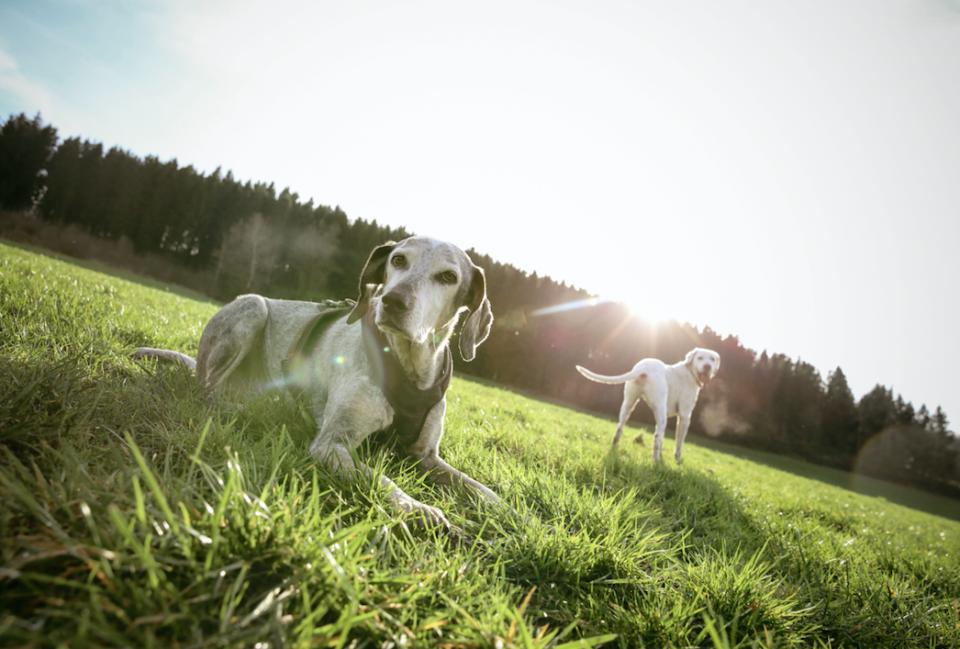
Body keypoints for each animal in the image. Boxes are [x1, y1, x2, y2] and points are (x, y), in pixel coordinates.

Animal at [135, 237, 498, 532]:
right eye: (398, 259)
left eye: (448, 277)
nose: (393, 301)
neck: (410, 366)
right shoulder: (332, 444)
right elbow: (380, 477)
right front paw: (416, 506)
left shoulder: (426, 458)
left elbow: (481, 489)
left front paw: (506, 511)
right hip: (253, 306)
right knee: (208, 390)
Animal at [572, 350, 716, 460]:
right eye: (700, 358)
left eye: (713, 359)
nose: (707, 366)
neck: (690, 372)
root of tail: (645, 368)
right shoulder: (685, 417)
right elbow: (679, 442)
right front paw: (678, 459)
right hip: (660, 411)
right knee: (657, 436)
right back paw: (656, 461)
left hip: (629, 403)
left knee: (620, 427)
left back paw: (615, 444)